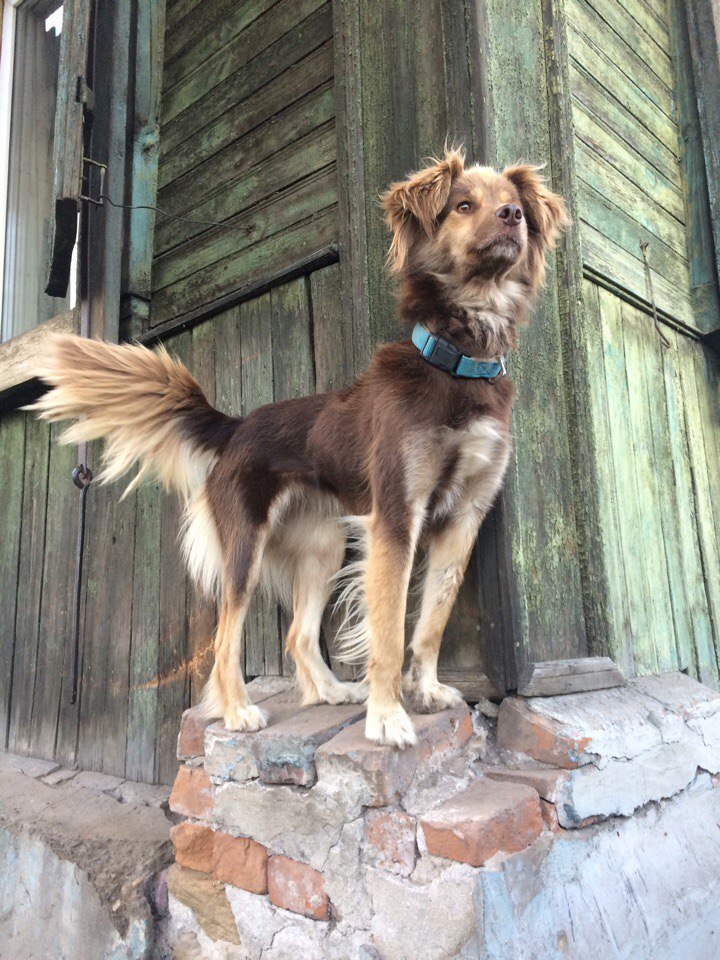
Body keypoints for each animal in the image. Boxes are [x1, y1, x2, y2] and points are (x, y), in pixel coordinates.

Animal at [32, 150, 564, 752]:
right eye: (463, 205)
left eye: (514, 204)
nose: (512, 217)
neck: (458, 362)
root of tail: (238, 426)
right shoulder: (397, 516)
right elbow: (388, 631)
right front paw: (388, 716)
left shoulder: (465, 517)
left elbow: (432, 620)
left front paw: (425, 690)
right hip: (245, 544)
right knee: (224, 640)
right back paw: (238, 711)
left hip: (323, 547)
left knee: (296, 634)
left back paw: (329, 691)